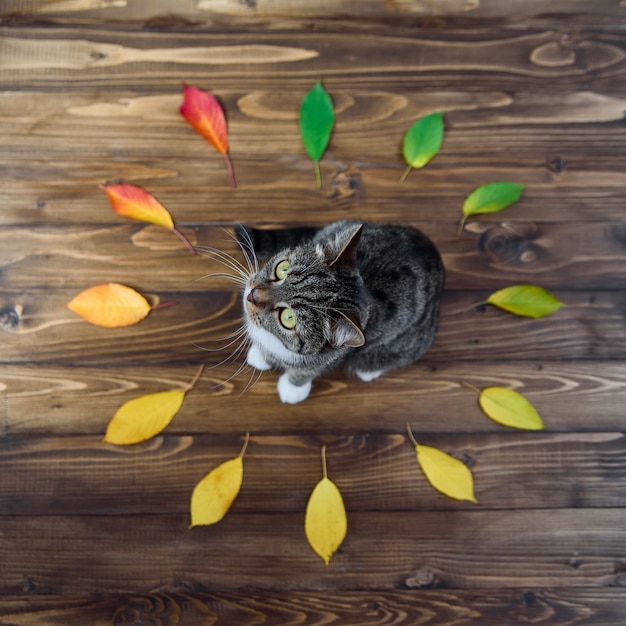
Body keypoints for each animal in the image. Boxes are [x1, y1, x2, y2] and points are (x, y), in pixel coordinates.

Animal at [233, 219, 444, 402]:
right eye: (282, 269)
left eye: (288, 318)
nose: (251, 295)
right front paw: (261, 355)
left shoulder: (331, 357)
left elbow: (306, 371)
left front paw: (292, 388)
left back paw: (369, 371)